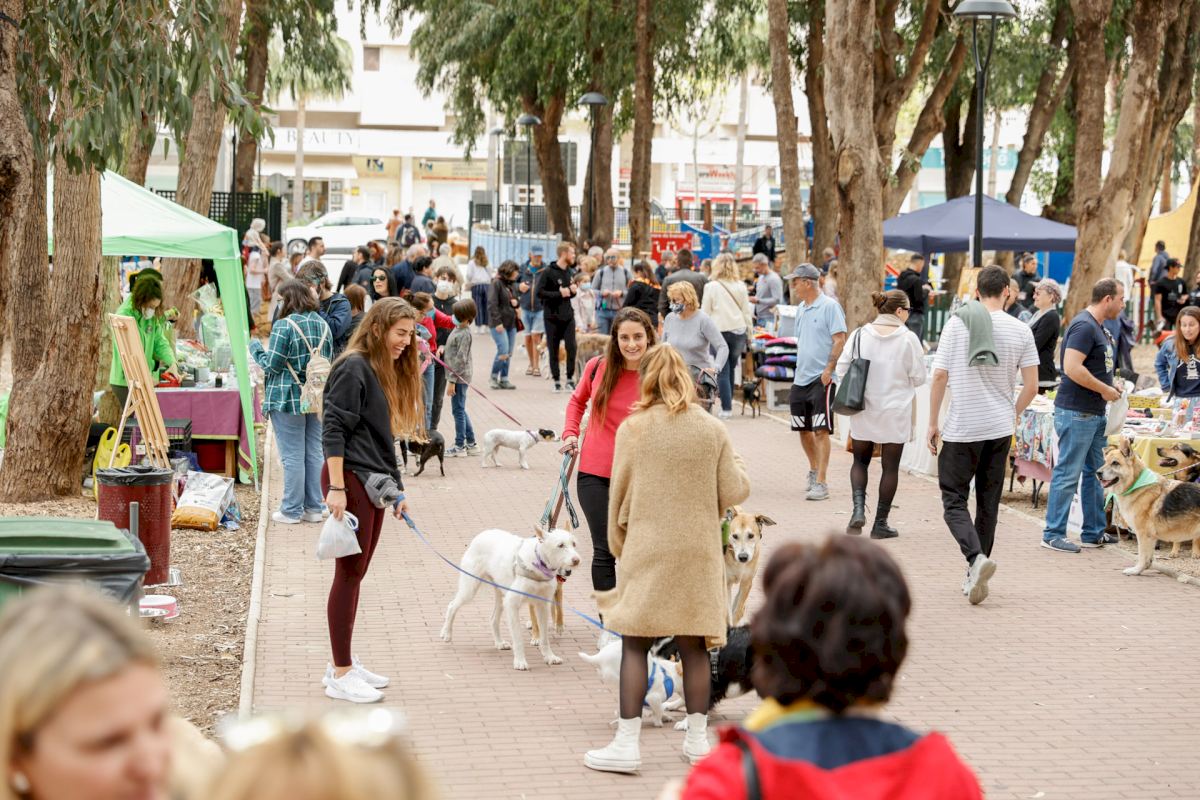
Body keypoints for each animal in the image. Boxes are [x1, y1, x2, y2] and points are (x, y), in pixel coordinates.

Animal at [440, 526, 581, 670]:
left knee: (493, 619)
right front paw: (519, 661)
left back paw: (499, 643)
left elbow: (544, 637)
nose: (576, 560)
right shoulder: (512, 604)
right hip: (470, 589)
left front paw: (549, 657)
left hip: (501, 596)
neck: (538, 562)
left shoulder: (542, 606)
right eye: (560, 545)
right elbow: (518, 638)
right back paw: (446, 633)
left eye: (574, 544)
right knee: (452, 606)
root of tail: (482, 534)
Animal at [1098, 438, 1200, 574]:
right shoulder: (1151, 537)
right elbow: (1149, 558)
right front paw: (1144, 569)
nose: (1097, 473)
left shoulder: (1143, 534)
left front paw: (1136, 570)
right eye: (1105, 462)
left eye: (1115, 463)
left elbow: (1142, 555)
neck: (1136, 483)